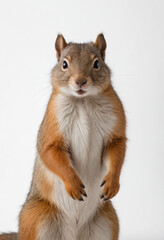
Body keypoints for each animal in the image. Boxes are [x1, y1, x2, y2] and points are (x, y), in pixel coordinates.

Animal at [0, 33, 127, 240]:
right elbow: (51, 153)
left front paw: (112, 183)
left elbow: (117, 149)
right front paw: (73, 184)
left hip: (108, 221)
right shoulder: (51, 127)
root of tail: (73, 235)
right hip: (34, 217)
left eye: (97, 63)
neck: (83, 101)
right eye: (64, 64)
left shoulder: (115, 128)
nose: (81, 81)